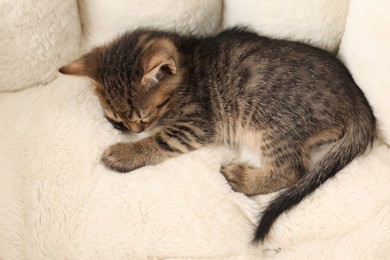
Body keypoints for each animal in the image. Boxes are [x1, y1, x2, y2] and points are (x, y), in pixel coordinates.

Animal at [59, 27, 376, 243]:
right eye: (117, 117)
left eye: (144, 115)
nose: (137, 129)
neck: (185, 65)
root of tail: (357, 99)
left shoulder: (196, 125)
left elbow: (160, 141)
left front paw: (124, 153)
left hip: (272, 122)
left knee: (292, 171)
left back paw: (243, 178)